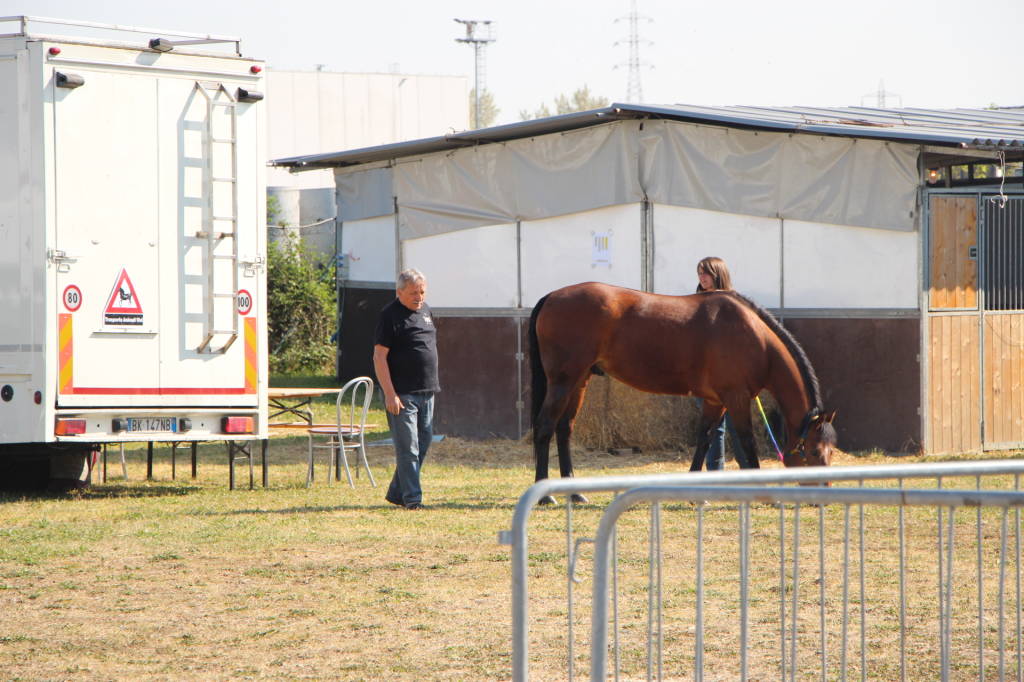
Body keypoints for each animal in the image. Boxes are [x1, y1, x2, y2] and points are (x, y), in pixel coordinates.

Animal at [532, 280, 835, 499]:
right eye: (814, 452)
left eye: (831, 452)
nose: (825, 493)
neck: (755, 337)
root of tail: (552, 296)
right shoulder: (737, 399)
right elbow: (747, 443)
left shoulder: (716, 401)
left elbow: (704, 440)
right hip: (563, 381)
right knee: (545, 426)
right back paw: (546, 495)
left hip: (579, 381)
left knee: (564, 430)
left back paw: (573, 492)